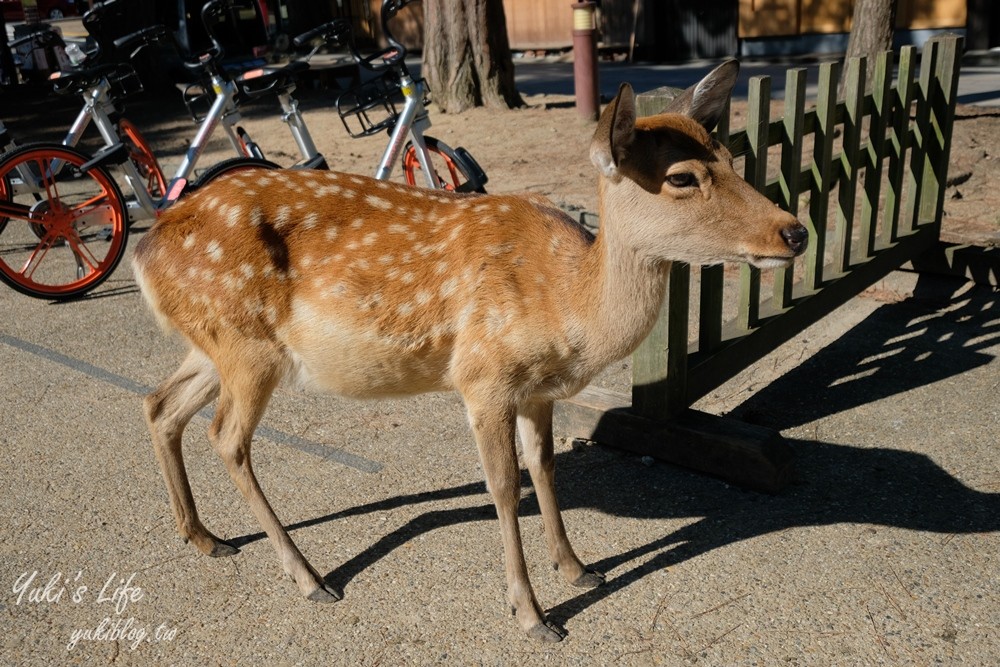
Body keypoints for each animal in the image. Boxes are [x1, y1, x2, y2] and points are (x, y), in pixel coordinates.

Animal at [131, 61, 804, 640]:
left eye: (731, 156)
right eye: (683, 178)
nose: (793, 231)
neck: (565, 305)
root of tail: (145, 247)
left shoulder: (538, 391)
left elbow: (544, 467)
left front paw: (577, 568)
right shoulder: (484, 375)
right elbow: (504, 486)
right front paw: (532, 615)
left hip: (215, 345)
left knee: (159, 404)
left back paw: (204, 537)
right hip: (246, 346)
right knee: (226, 436)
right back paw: (309, 577)